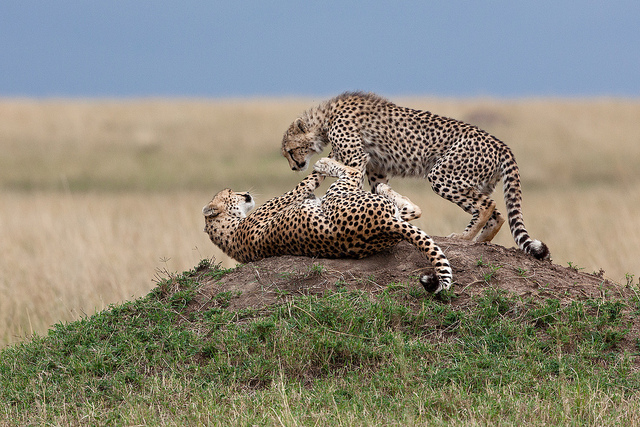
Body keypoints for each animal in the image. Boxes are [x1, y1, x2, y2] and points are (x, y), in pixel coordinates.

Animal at [202, 157, 452, 294]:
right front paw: (317, 168)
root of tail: (386, 224)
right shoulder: (288, 198)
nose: (245, 193)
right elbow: (302, 184)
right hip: (338, 195)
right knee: (352, 172)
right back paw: (328, 163)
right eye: (230, 191)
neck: (229, 229)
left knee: (412, 210)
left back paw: (384, 188)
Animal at [282, 92, 552, 260]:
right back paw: (478, 240)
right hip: (473, 182)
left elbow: (345, 176)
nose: (294, 167)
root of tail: (501, 144)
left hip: (443, 175)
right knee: (497, 215)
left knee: (487, 206)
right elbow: (375, 189)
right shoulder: (377, 169)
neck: (325, 118)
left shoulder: (357, 158)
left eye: (289, 151)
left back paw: (464, 237)